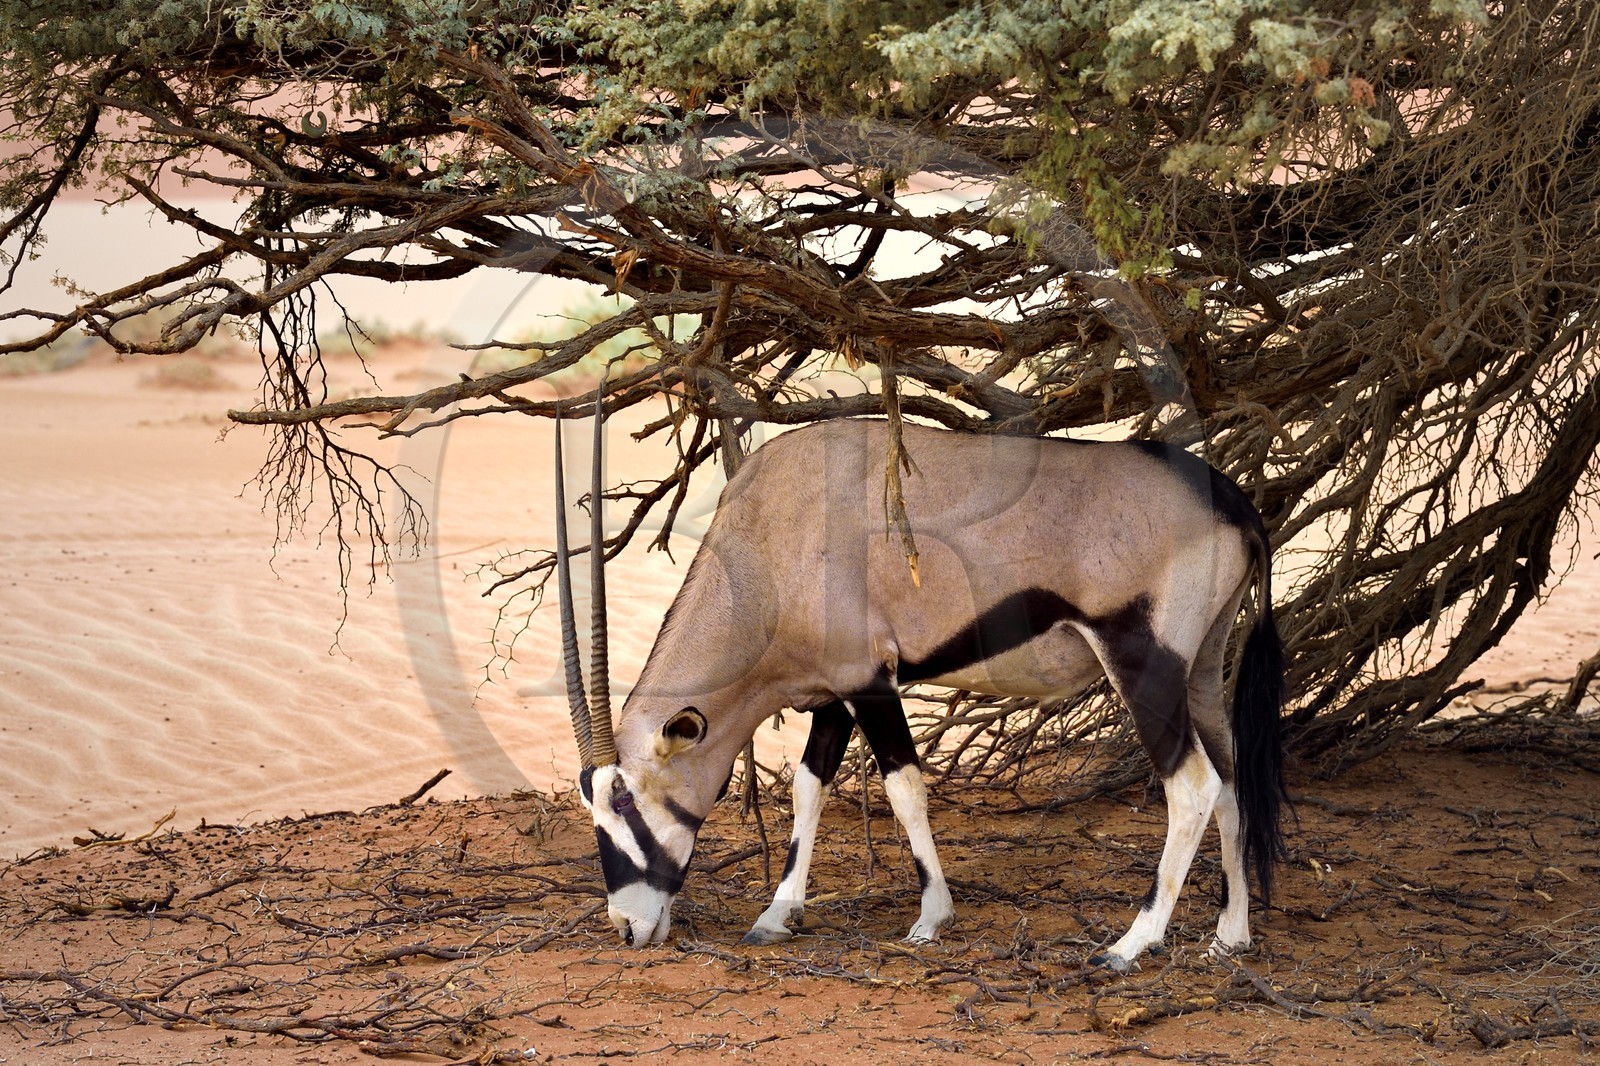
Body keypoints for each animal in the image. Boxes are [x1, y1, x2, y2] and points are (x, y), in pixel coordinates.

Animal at [554, 402, 1285, 971]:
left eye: (627, 798)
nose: (626, 926)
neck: (771, 542)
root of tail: (1233, 503)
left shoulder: (870, 683)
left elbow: (903, 787)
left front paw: (932, 916)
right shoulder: (834, 691)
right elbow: (809, 787)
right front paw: (777, 914)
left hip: (1143, 663)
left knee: (1193, 788)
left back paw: (1133, 943)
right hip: (1200, 670)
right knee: (1229, 780)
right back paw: (1230, 937)